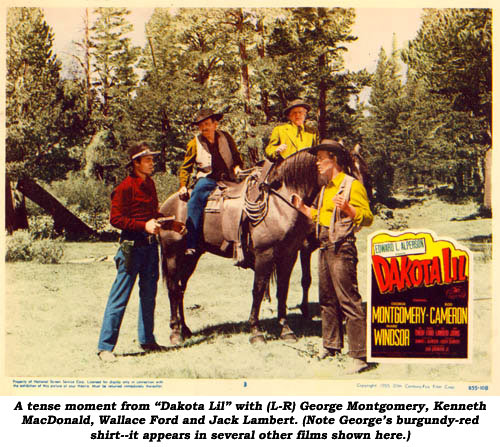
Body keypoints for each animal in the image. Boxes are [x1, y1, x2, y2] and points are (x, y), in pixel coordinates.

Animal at [158, 150, 322, 346]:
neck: (279, 204)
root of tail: (166, 206)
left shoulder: (289, 255)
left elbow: (283, 290)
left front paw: (286, 330)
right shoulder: (265, 255)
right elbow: (258, 290)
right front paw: (256, 332)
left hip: (190, 257)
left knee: (180, 289)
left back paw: (185, 329)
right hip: (172, 255)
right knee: (173, 288)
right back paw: (175, 332)